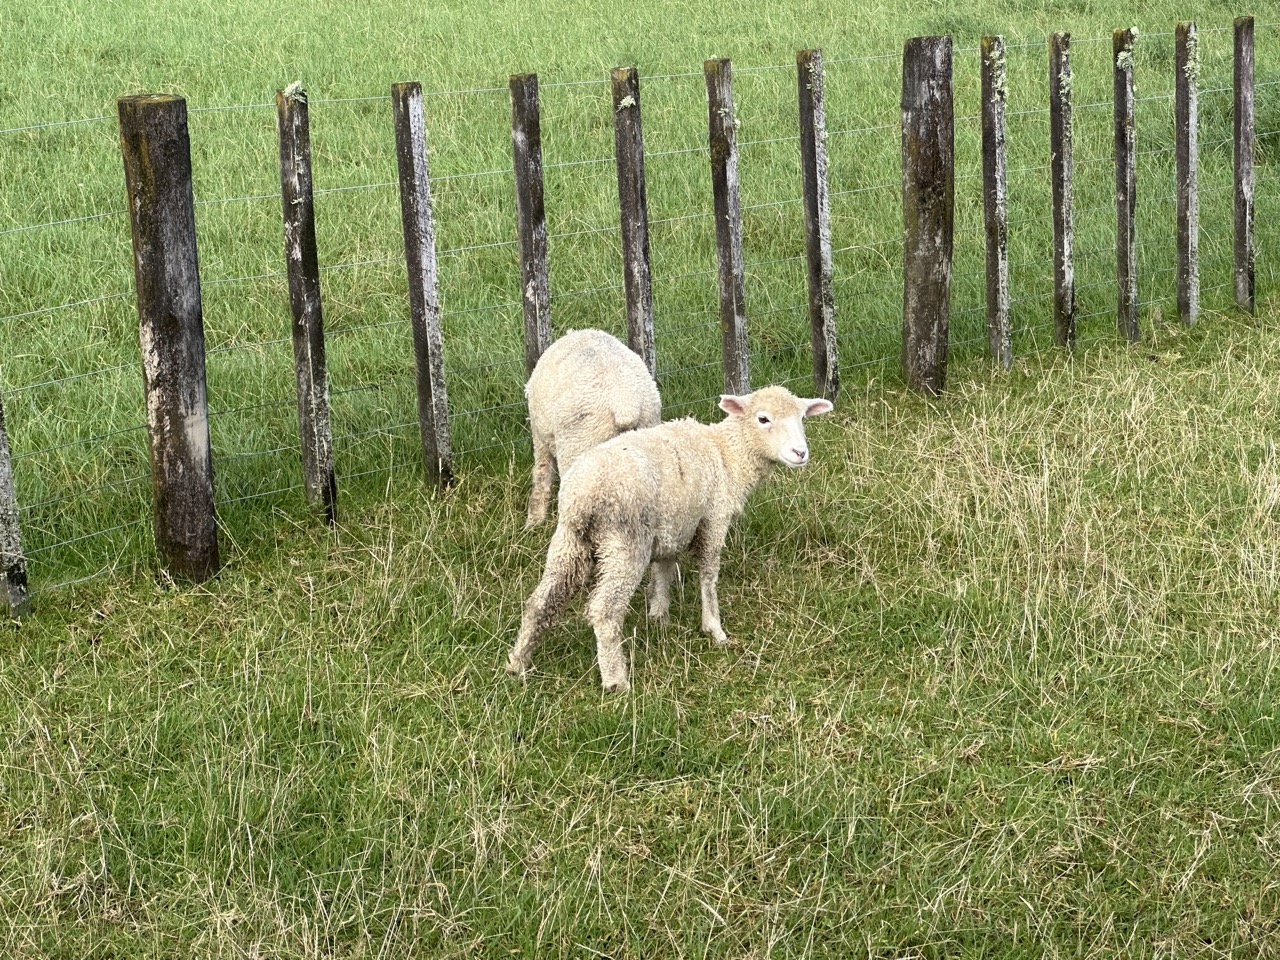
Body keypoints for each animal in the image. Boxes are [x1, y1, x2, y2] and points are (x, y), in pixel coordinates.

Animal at [504, 386, 834, 696]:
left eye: (802, 418)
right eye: (763, 419)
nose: (800, 453)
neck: (727, 456)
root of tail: (585, 496)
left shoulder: (671, 528)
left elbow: (664, 569)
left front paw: (659, 616)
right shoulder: (714, 519)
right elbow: (708, 576)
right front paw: (714, 629)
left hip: (569, 542)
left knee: (541, 601)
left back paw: (517, 662)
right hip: (625, 545)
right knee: (605, 611)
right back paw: (616, 681)